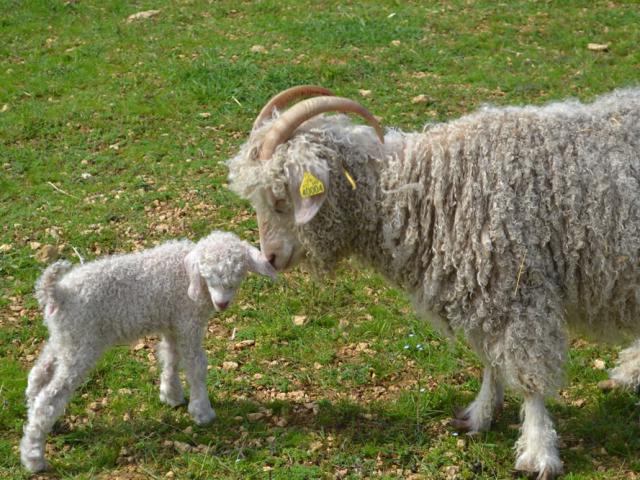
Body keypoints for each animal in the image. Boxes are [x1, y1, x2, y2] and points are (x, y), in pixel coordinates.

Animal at [226, 85, 640, 476]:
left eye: (281, 200)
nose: (270, 258)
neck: (425, 190)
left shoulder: (521, 290)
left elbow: (529, 378)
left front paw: (538, 452)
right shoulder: (486, 292)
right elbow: (491, 361)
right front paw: (479, 414)